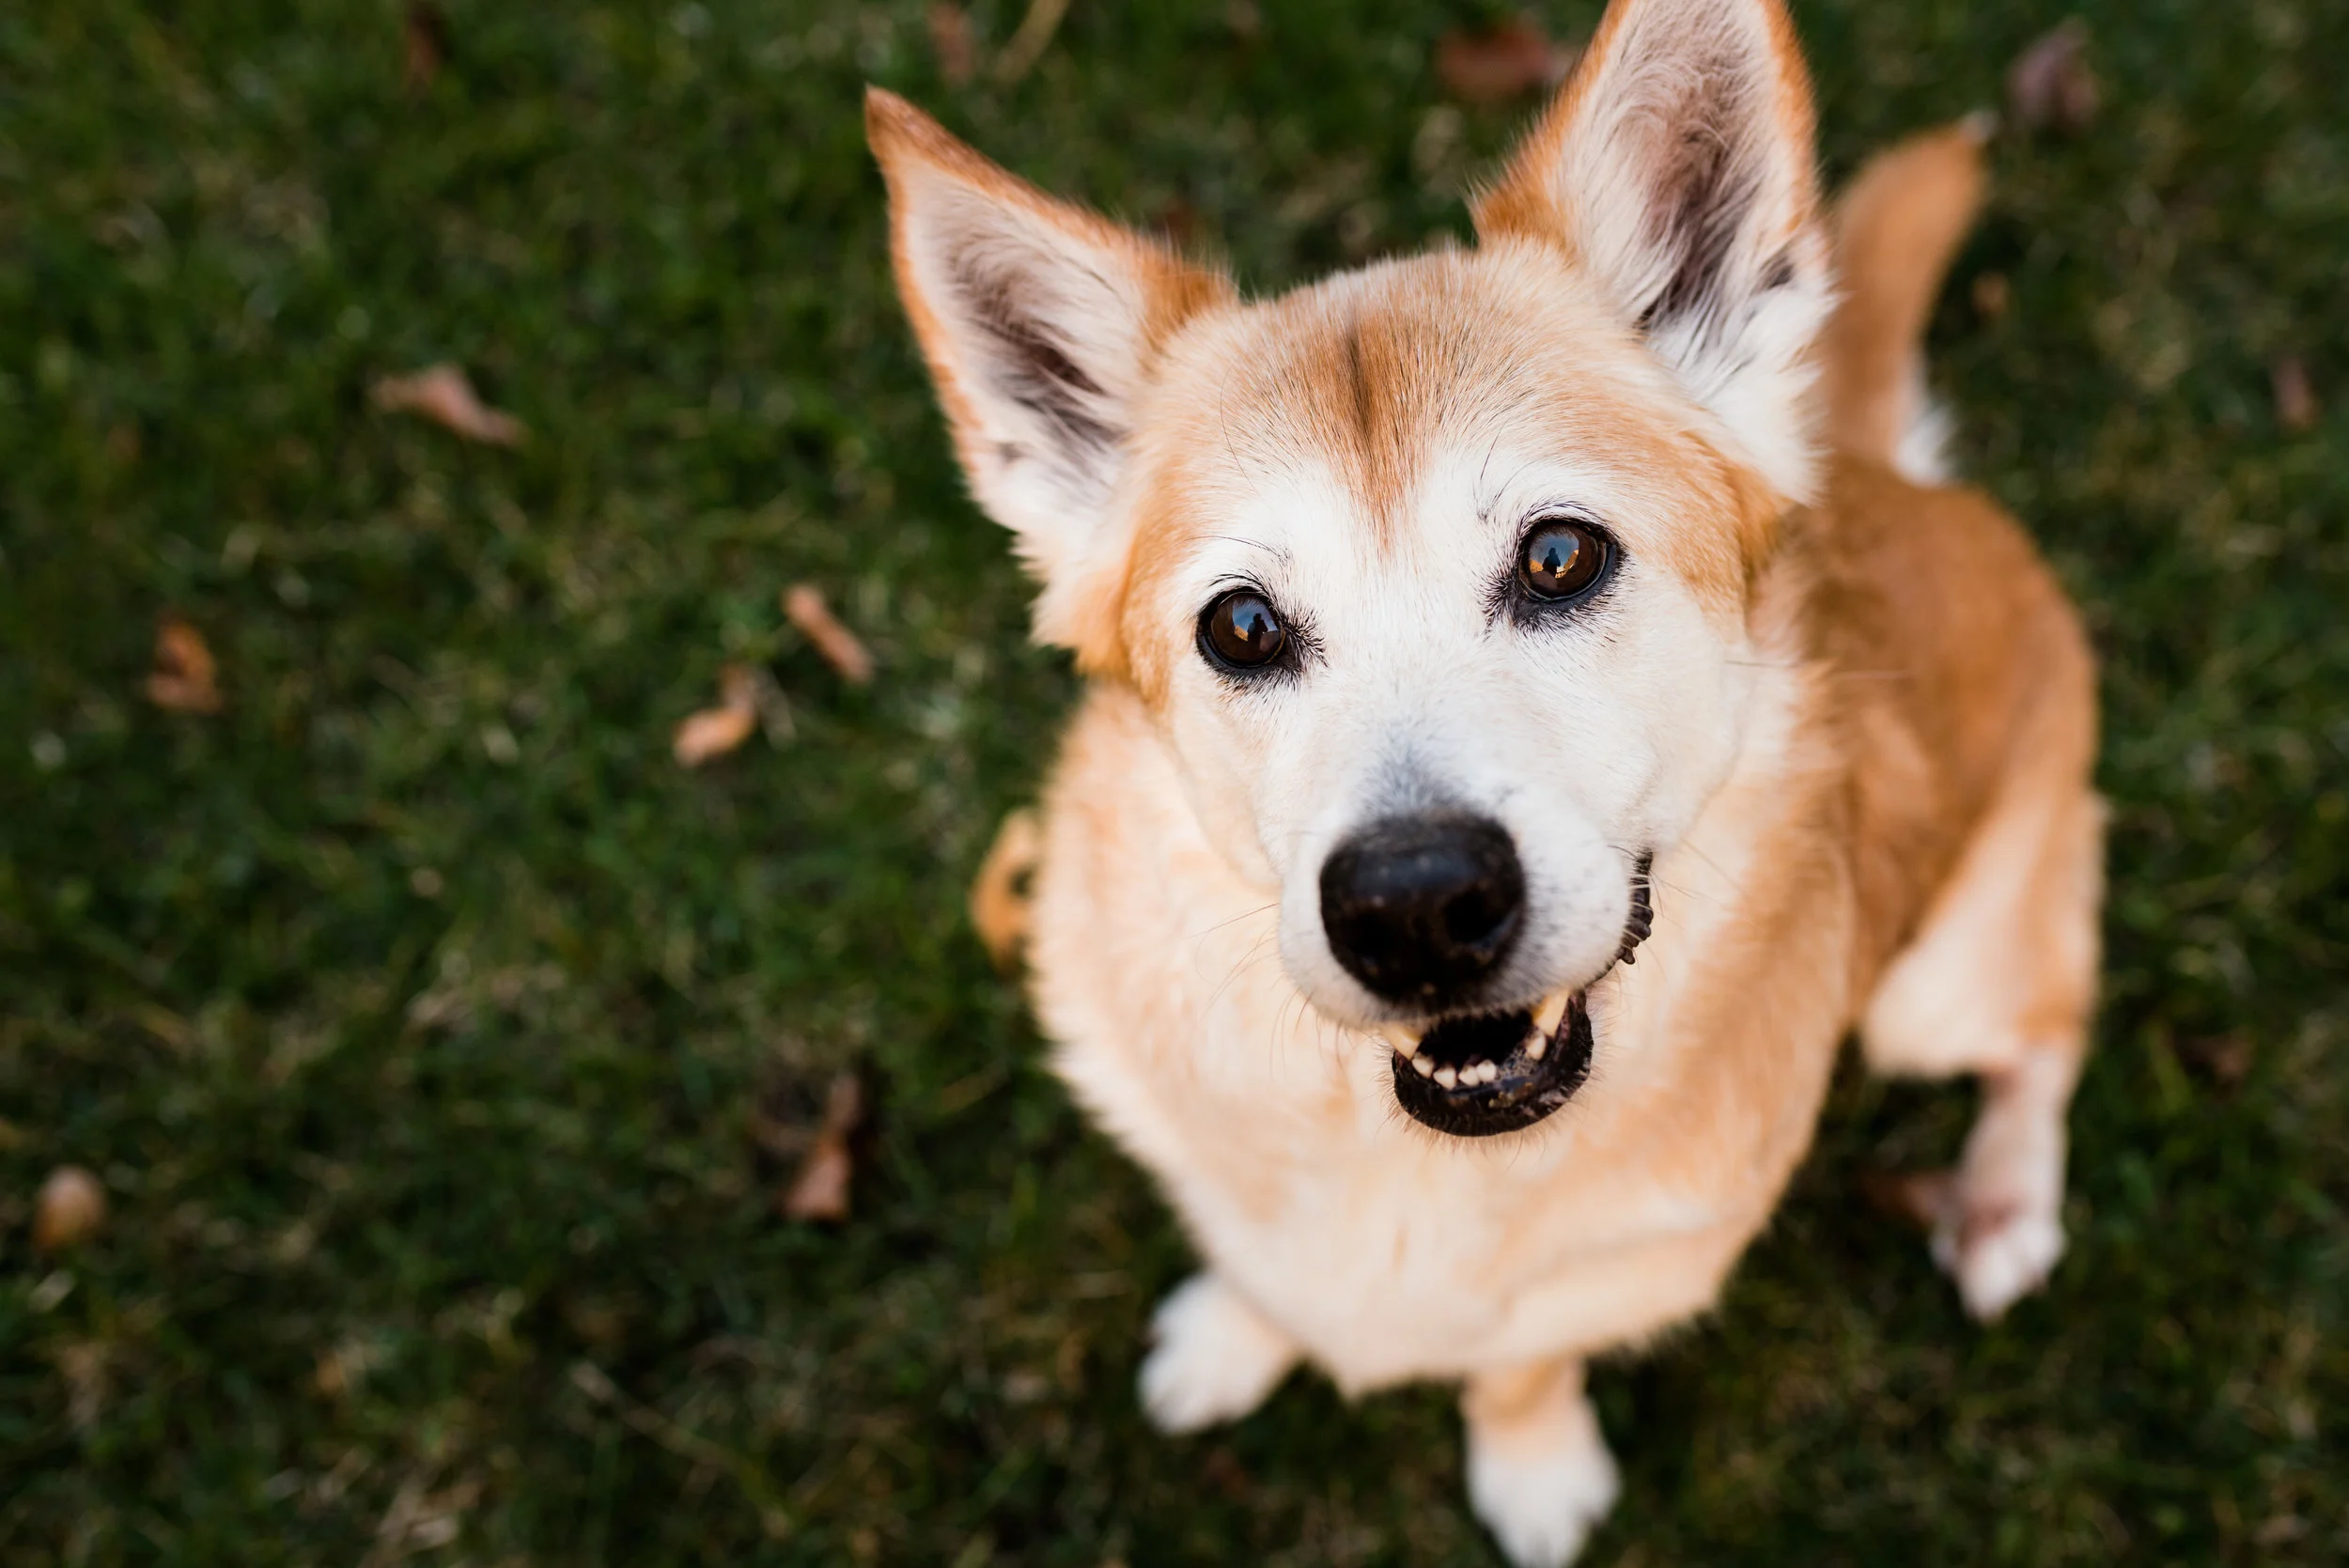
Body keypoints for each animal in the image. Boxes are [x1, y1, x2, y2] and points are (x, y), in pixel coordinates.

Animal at [874, 3, 2105, 1559]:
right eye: (1242, 627)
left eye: (1560, 556)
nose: (1411, 906)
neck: (1416, 1161)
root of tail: (1896, 478)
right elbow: (1258, 1258)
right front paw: (1236, 1334)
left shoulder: (1616, 1275)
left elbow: (1521, 1360)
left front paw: (1531, 1468)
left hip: (1935, 988)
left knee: (2050, 1022)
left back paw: (2003, 1198)